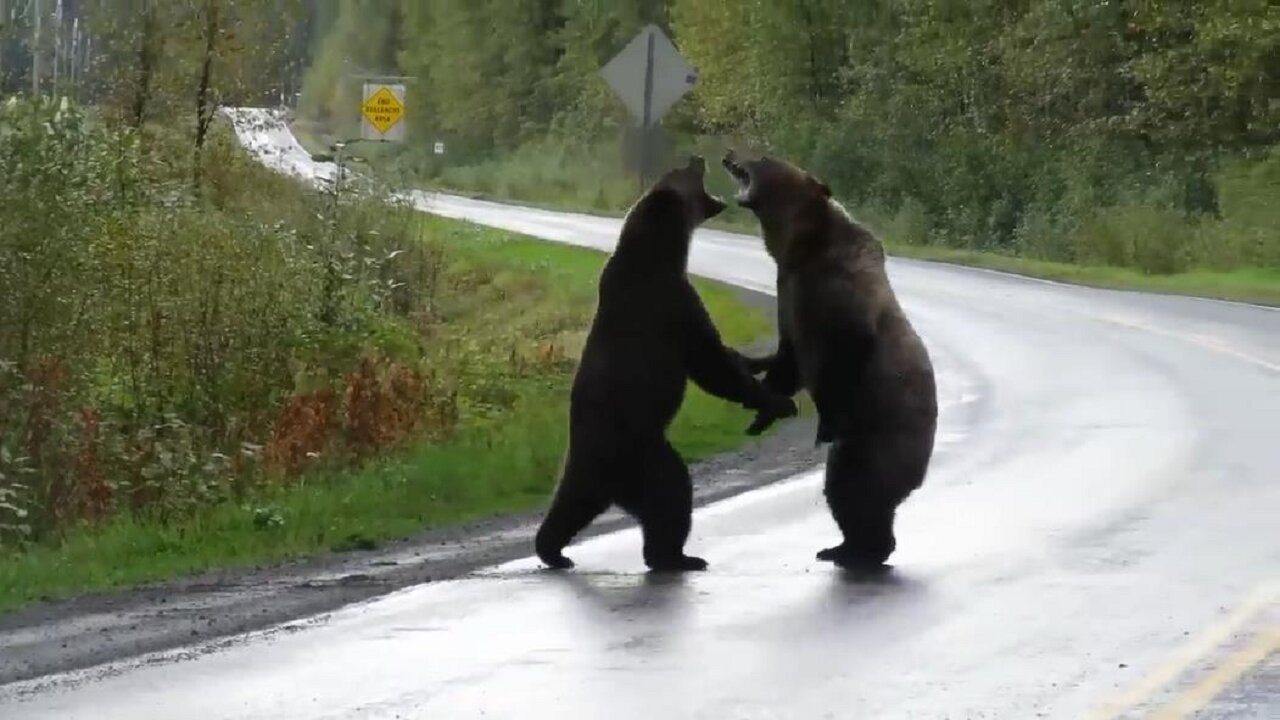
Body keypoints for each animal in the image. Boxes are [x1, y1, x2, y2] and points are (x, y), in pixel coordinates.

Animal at [532, 154, 793, 568]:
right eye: (682, 171)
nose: (697, 156)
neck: (660, 252)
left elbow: (723, 356)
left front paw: (759, 360)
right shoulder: (673, 303)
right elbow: (709, 363)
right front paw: (776, 400)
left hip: (593, 469)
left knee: (571, 506)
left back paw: (553, 550)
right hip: (643, 452)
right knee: (671, 493)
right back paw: (675, 556)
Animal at [721, 149, 942, 566]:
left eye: (764, 155)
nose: (729, 154)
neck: (798, 247)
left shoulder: (838, 294)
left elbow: (846, 349)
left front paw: (819, 421)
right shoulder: (790, 292)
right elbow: (788, 359)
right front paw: (763, 410)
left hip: (884, 436)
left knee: (861, 488)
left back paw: (861, 550)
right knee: (842, 488)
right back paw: (843, 547)